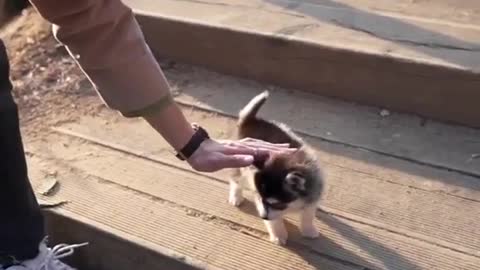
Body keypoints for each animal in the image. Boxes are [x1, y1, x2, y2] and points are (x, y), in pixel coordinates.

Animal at [228, 90, 324, 245]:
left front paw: (309, 230)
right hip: (239, 164)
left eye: (276, 204)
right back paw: (236, 196)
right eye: (261, 199)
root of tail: (251, 120)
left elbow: (308, 216)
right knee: (236, 180)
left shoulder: (312, 196)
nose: (262, 217)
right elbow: (275, 221)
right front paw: (279, 234)